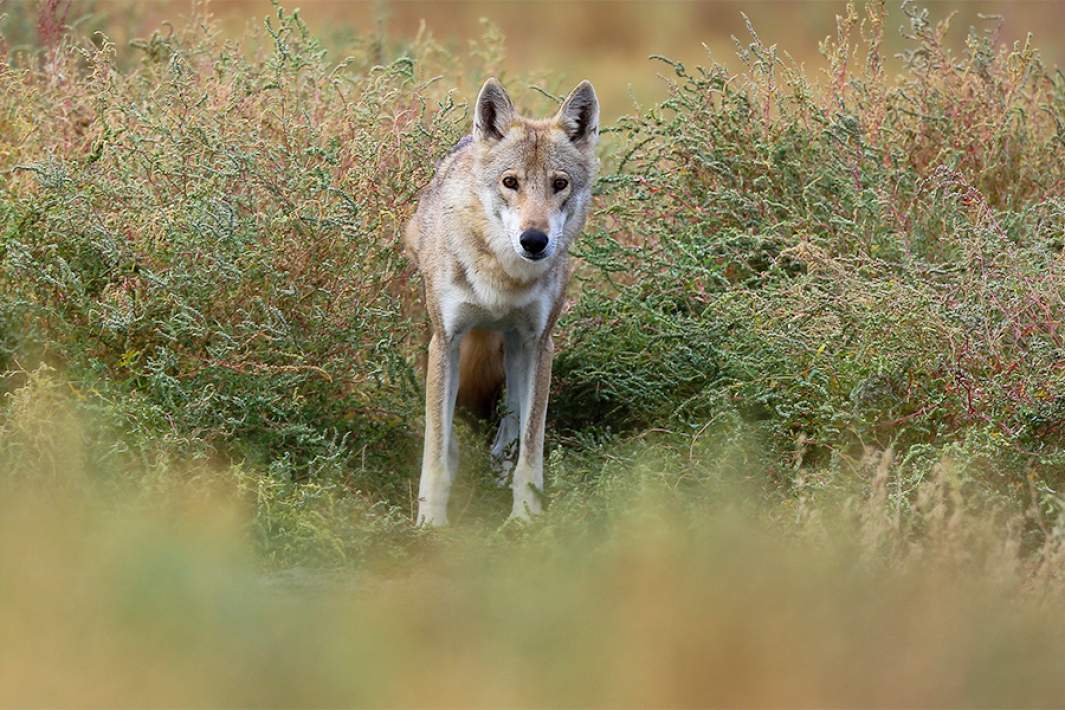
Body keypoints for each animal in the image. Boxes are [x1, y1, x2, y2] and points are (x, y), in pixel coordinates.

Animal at [402, 77, 600, 525]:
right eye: (511, 182)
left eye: (559, 184)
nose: (534, 240)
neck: (502, 278)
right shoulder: (447, 341)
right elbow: (435, 446)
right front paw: (431, 522)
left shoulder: (540, 344)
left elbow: (531, 446)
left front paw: (526, 518)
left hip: (513, 346)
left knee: (511, 416)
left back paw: (499, 463)